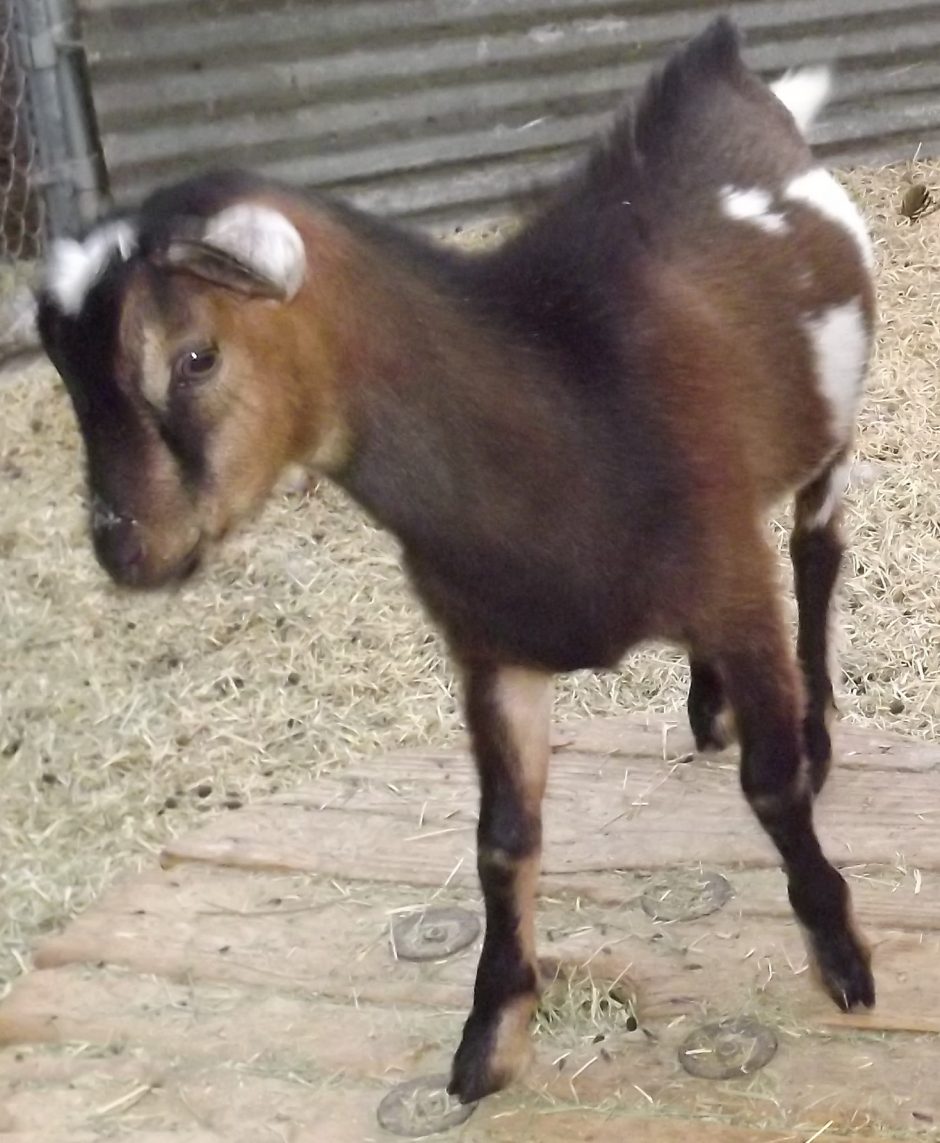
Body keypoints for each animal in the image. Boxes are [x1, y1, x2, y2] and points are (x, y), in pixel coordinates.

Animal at [37, 19, 875, 1105]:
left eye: (194, 356)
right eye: (66, 376)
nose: (125, 546)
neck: (572, 408)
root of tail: (723, 72)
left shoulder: (735, 592)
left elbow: (770, 785)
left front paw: (839, 952)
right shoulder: (489, 651)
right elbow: (502, 842)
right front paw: (490, 1037)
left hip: (829, 438)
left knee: (816, 554)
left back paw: (815, 724)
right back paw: (704, 705)